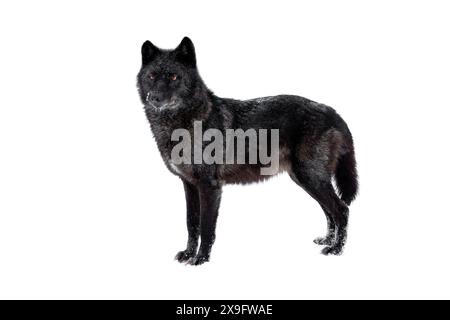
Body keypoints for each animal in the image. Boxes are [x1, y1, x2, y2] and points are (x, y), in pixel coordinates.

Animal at [137, 37, 358, 264]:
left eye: (173, 76)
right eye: (151, 76)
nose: (154, 98)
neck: (186, 123)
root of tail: (333, 112)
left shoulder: (209, 186)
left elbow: (206, 227)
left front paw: (201, 259)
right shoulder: (189, 184)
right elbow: (192, 223)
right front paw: (189, 254)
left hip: (311, 178)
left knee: (342, 210)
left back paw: (336, 249)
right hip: (305, 179)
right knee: (329, 211)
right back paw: (327, 240)